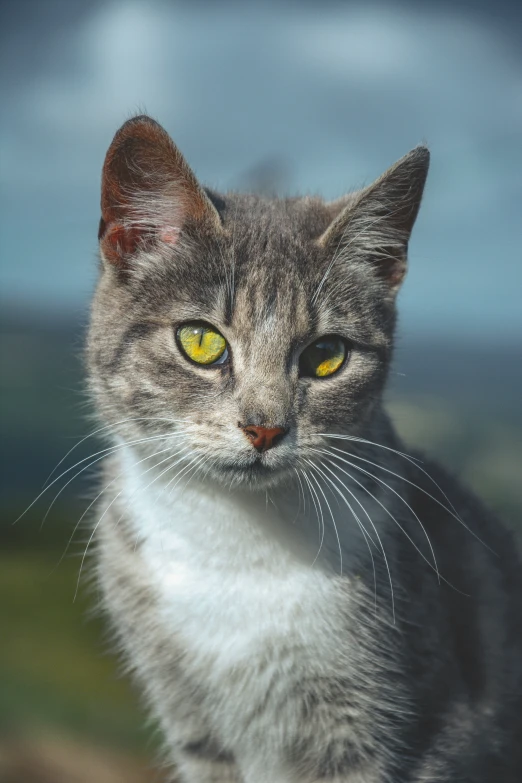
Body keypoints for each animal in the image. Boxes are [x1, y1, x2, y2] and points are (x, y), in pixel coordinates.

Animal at [88, 116, 520, 783]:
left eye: (326, 355)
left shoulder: (403, 728)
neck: (234, 545)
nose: (264, 428)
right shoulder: (194, 725)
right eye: (200, 341)